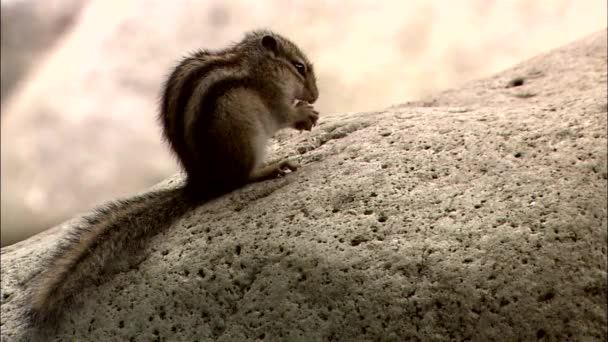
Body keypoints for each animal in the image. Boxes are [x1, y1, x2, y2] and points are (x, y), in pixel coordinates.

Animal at [25, 28, 318, 328]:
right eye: (299, 67)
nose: (316, 95)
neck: (256, 64)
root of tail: (202, 183)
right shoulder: (272, 96)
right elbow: (284, 114)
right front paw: (304, 114)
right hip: (244, 131)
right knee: (239, 179)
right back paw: (270, 168)